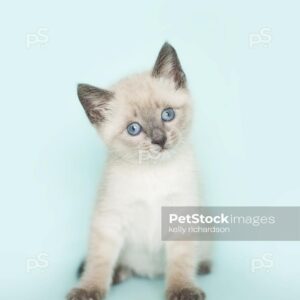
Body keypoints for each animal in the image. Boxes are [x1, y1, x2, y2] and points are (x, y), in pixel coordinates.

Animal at [67, 42, 211, 300]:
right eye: (133, 129)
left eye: (167, 114)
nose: (160, 140)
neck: (152, 172)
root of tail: (149, 273)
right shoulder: (109, 219)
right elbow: (99, 260)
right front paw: (89, 289)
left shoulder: (181, 213)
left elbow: (181, 260)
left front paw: (183, 289)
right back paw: (119, 273)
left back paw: (203, 266)